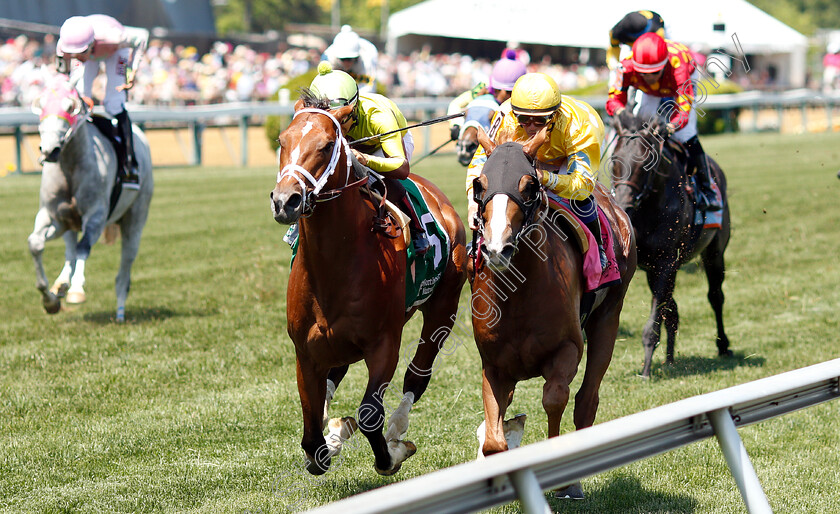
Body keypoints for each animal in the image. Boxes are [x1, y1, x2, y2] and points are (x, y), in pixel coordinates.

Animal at [270, 94, 466, 474]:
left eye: (326, 145)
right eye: (282, 141)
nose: (286, 201)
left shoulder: (384, 343)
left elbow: (370, 413)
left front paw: (391, 453)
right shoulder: (306, 351)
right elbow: (312, 434)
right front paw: (330, 439)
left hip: (444, 307)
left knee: (417, 375)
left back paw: (397, 430)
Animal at [612, 112, 728, 376]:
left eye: (645, 163)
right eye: (615, 160)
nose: (623, 206)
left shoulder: (666, 261)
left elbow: (655, 320)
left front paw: (645, 369)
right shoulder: (655, 266)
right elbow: (667, 310)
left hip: (715, 252)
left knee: (716, 296)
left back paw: (723, 346)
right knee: (673, 311)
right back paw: (670, 359)